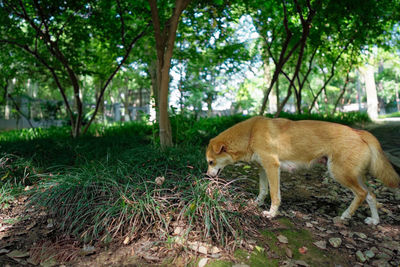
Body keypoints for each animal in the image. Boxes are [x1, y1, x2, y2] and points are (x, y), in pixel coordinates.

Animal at [206, 116, 400, 225]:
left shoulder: (272, 166)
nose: (206, 176)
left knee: (361, 194)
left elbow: (274, 195)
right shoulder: (262, 168)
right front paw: (256, 204)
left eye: (210, 162)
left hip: (339, 174)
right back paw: (374, 220)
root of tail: (359, 132)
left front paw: (271, 213)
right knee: (371, 195)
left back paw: (345, 216)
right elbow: (262, 190)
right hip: (354, 176)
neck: (251, 134)